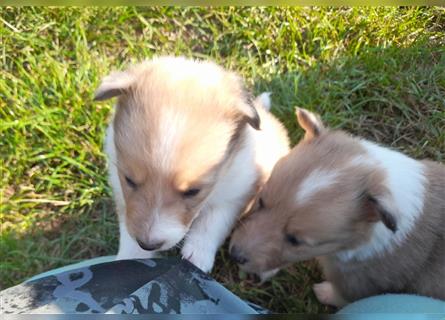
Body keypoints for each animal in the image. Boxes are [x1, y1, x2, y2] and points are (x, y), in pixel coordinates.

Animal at [94, 56, 288, 272]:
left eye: (193, 192)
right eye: (129, 180)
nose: (147, 244)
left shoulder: (236, 193)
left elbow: (212, 221)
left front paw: (197, 256)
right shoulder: (121, 192)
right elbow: (128, 233)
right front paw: (131, 257)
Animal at [229, 108, 444, 308]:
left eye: (295, 240)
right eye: (261, 201)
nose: (234, 255)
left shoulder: (359, 283)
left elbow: (343, 296)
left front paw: (324, 292)